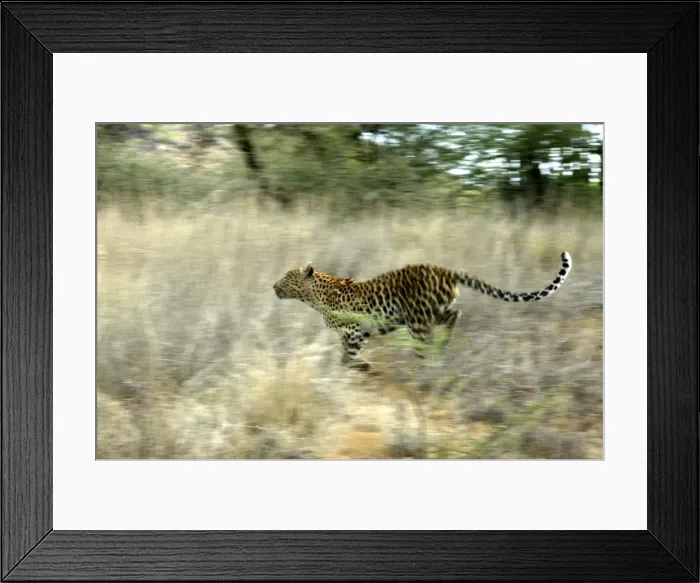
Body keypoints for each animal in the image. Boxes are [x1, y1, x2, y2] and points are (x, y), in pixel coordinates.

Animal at [273, 251, 572, 371]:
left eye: (287, 277)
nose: (273, 286)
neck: (314, 296)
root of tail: (445, 270)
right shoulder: (355, 334)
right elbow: (345, 357)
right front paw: (359, 366)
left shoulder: (355, 331)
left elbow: (346, 358)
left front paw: (362, 366)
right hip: (428, 312)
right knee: (454, 315)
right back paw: (442, 346)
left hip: (416, 320)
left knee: (425, 345)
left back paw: (430, 363)